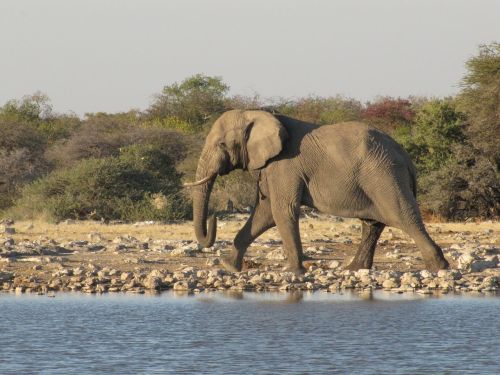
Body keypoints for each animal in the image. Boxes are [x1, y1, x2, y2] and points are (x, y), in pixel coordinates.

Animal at [185, 110, 450, 274]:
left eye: (221, 144)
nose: (213, 217)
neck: (259, 114)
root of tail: (406, 157)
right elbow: (264, 213)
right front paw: (228, 266)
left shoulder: (285, 165)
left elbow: (281, 210)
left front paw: (294, 272)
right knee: (373, 224)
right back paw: (354, 269)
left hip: (384, 175)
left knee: (403, 217)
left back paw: (439, 267)